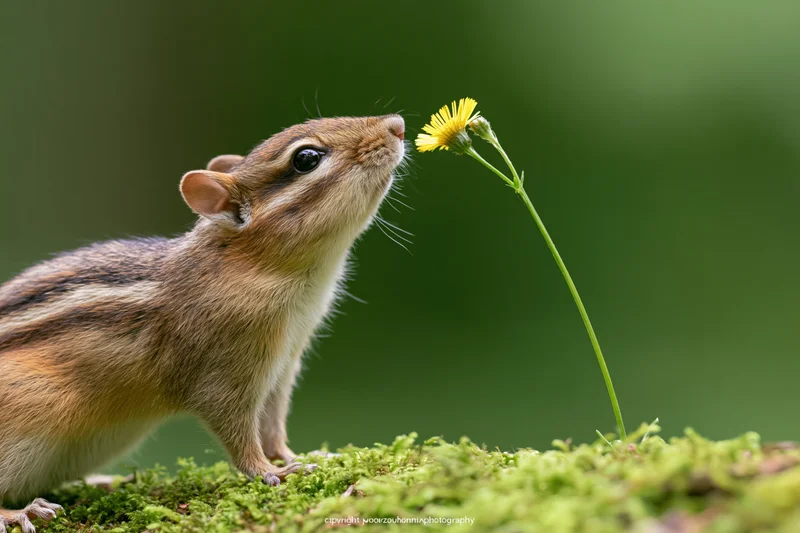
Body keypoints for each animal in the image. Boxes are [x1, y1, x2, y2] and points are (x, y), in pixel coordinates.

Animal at [0, 114, 407, 532]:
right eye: (306, 158)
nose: (397, 125)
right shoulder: (223, 372)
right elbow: (236, 429)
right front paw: (268, 471)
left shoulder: (283, 366)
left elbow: (273, 425)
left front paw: (298, 457)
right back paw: (20, 512)